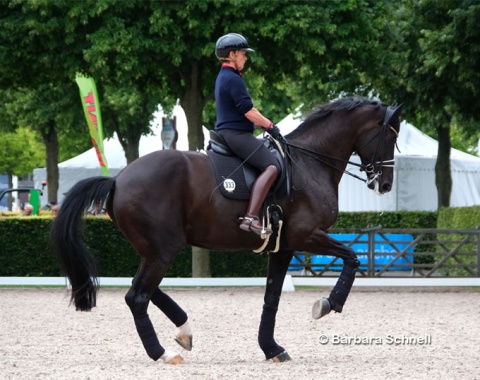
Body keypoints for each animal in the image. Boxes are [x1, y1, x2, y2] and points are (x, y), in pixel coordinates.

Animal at [51, 96, 402, 364]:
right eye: (390, 136)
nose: (385, 184)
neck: (309, 164)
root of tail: (118, 179)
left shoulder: (284, 246)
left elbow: (272, 297)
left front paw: (271, 348)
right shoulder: (306, 235)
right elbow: (352, 257)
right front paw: (328, 304)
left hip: (153, 249)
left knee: (142, 288)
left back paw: (184, 330)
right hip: (164, 249)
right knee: (137, 296)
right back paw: (162, 353)